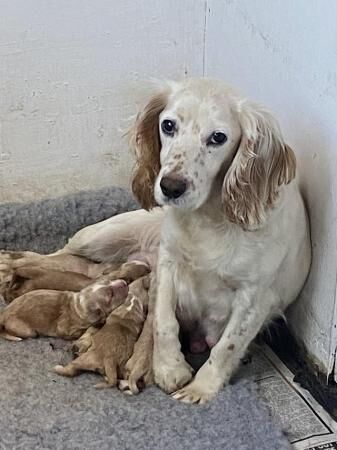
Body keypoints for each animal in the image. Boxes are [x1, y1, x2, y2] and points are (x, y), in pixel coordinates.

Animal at [0, 258, 148, 304]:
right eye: (145, 270)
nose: (148, 265)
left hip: (29, 274)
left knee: (15, 277)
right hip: (31, 270)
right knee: (17, 271)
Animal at [0, 278, 128, 342]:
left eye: (109, 280)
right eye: (110, 295)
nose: (125, 282)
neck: (78, 304)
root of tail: (4, 313)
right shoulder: (64, 328)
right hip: (24, 329)